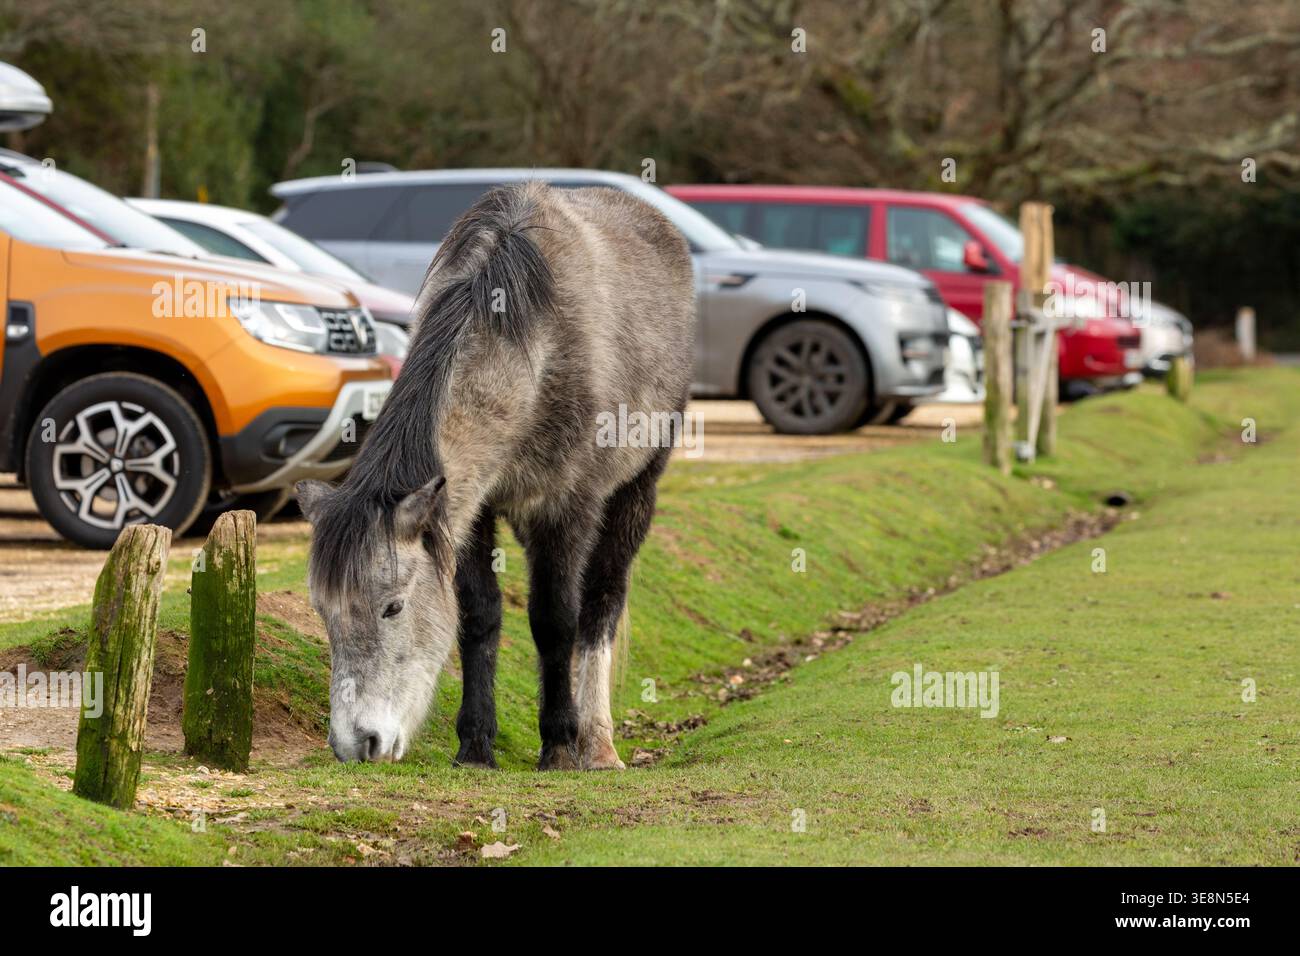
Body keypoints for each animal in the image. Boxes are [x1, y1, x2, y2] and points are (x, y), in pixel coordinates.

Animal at [295, 181, 695, 769]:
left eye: (393, 608)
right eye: (323, 613)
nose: (355, 745)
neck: (532, 352)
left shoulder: (567, 508)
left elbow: (555, 621)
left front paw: (558, 744)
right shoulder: (467, 511)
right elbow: (479, 616)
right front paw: (476, 745)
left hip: (635, 491)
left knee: (601, 604)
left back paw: (597, 743)